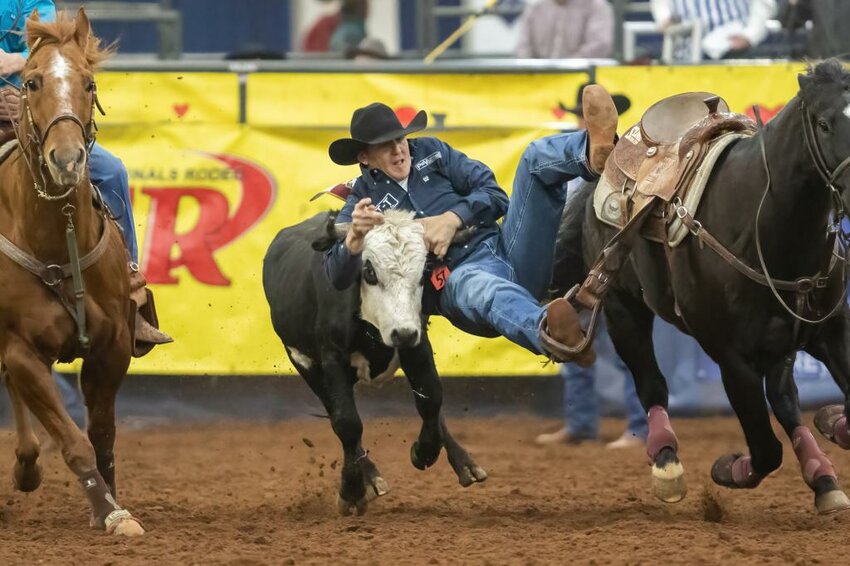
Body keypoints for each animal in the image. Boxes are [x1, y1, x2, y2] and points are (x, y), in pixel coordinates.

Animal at [0, 11, 142, 540]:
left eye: (89, 82)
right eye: (32, 81)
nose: (67, 159)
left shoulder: (113, 345)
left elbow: (101, 434)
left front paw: (111, 504)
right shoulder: (20, 350)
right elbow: (72, 440)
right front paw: (110, 512)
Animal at [568, 61, 850, 516]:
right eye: (824, 123)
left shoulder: (832, 329)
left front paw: (830, 420)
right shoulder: (731, 357)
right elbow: (766, 450)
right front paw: (727, 469)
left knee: (786, 399)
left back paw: (823, 478)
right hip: (623, 308)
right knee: (652, 384)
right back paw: (667, 463)